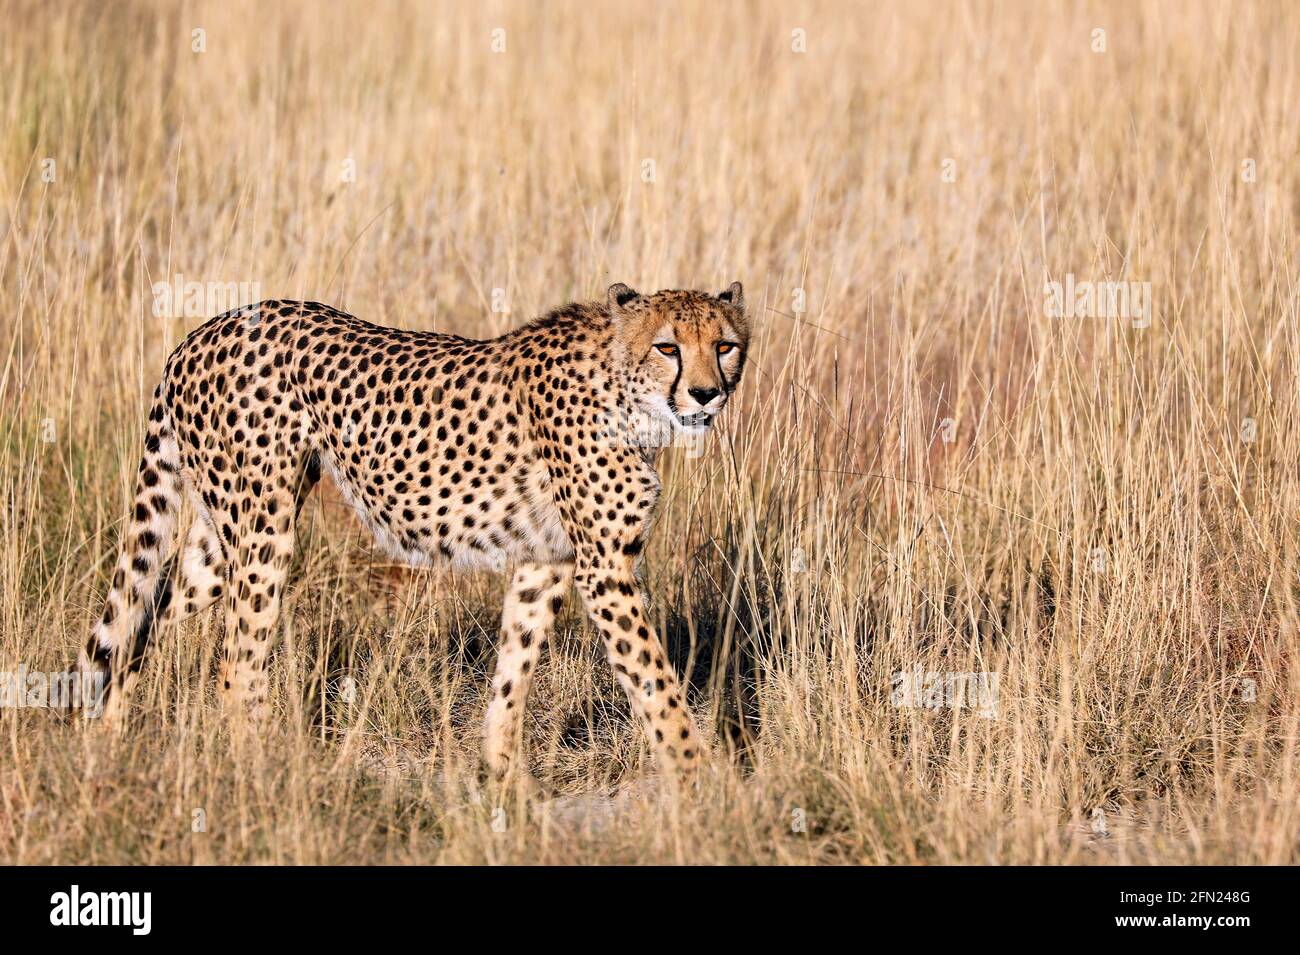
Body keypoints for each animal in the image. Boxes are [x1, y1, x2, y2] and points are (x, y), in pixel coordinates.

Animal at [77, 281, 751, 783]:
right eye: (667, 348)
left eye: (724, 345)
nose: (706, 394)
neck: (626, 391)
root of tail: (201, 331)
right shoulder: (604, 566)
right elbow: (654, 679)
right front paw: (701, 776)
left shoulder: (548, 561)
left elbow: (516, 664)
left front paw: (502, 773)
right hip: (263, 532)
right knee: (236, 665)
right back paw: (262, 769)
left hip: (222, 544)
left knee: (143, 620)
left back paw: (109, 744)